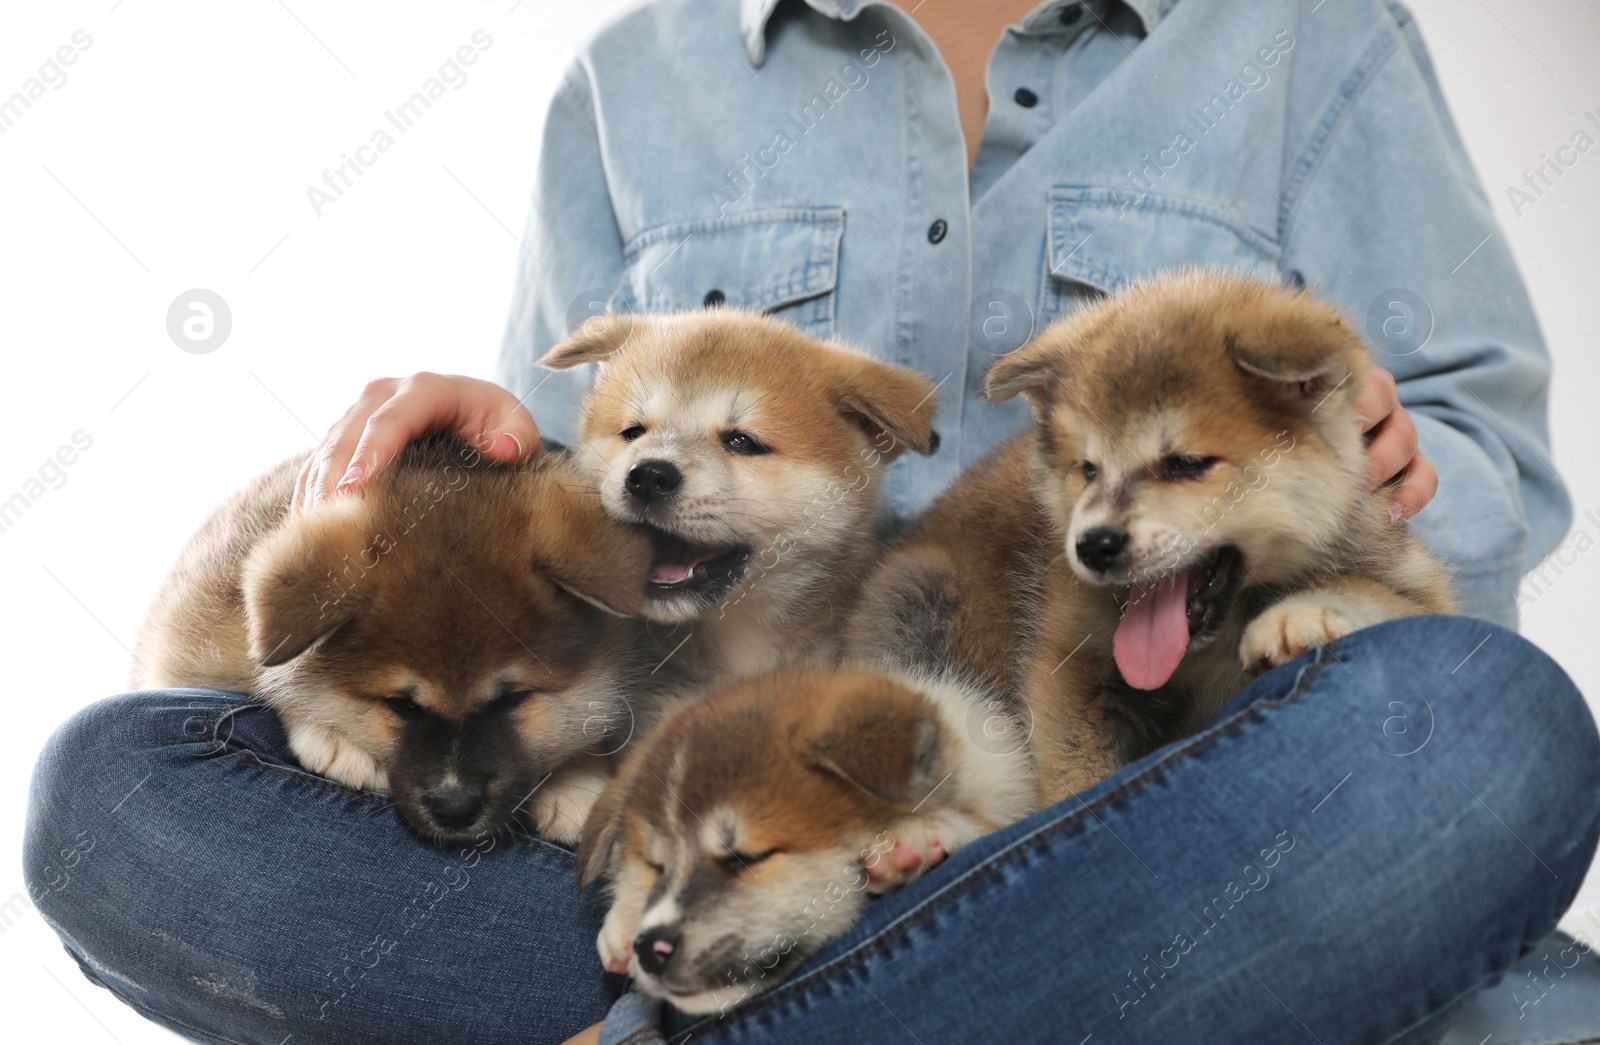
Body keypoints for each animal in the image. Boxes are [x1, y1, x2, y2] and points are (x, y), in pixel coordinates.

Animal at [128, 435, 659, 844]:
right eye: (402, 706)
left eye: (512, 700)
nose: (455, 810)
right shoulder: (190, 638)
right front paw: (334, 737)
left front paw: (579, 782)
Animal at [582, 665, 1030, 1017]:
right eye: (656, 867)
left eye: (746, 858)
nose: (649, 948)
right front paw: (624, 916)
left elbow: (982, 822)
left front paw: (916, 832)